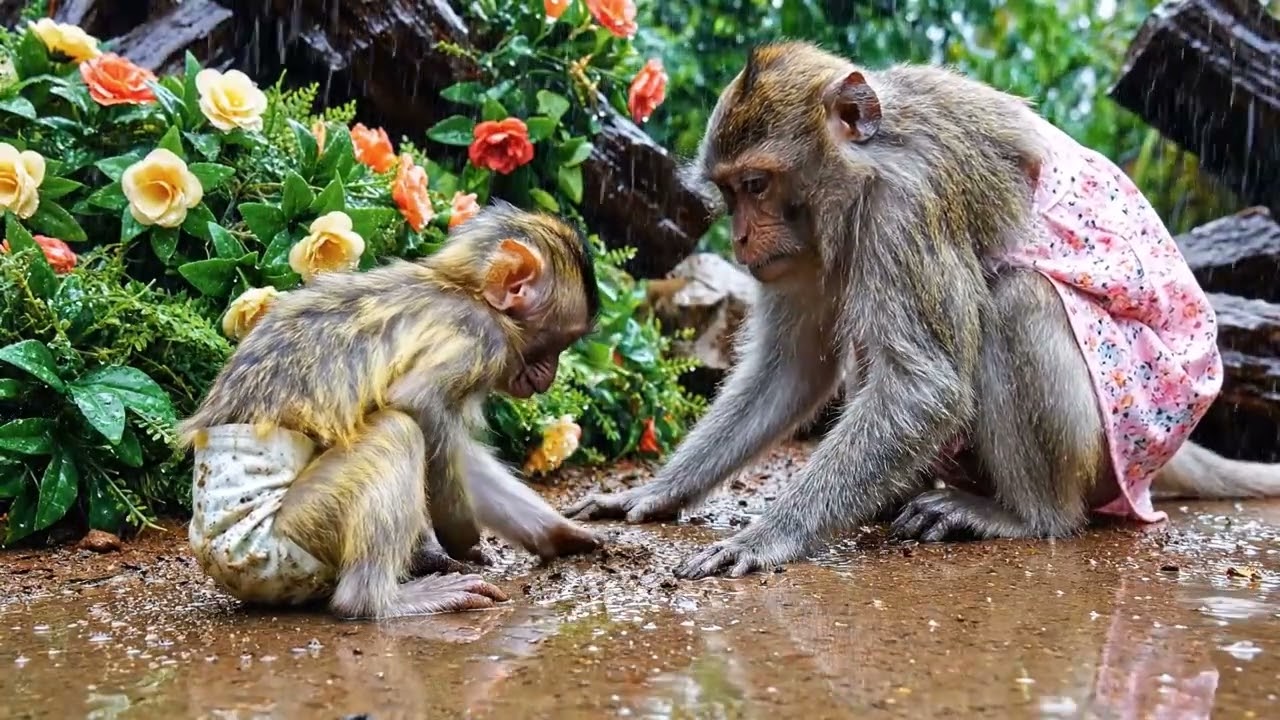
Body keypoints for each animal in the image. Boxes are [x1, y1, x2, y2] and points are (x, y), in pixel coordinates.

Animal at [181, 202, 604, 618]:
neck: (465, 289)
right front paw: (463, 539)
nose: (550, 377)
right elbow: (419, 405)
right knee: (397, 430)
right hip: (277, 542)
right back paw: (378, 599)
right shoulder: (480, 337)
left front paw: (555, 533)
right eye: (557, 344)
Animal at [564, 42, 1280, 579]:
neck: (867, 163)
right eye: (729, 192)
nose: (740, 238)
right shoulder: (802, 253)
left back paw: (1026, 517)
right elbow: (791, 369)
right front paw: (655, 492)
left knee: (1019, 301)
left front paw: (769, 536)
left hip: (1121, 446)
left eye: (757, 185)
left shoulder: (904, 208)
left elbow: (924, 388)